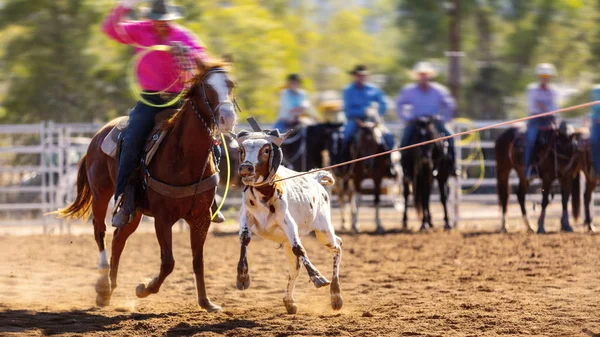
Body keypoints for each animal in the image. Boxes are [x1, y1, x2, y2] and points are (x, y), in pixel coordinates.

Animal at [54, 62, 237, 310]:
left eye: (230, 85)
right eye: (207, 88)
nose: (228, 118)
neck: (184, 155)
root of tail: (98, 135)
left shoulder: (201, 217)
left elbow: (198, 260)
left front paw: (206, 302)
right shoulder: (163, 217)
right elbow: (168, 262)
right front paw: (144, 288)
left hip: (135, 210)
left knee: (119, 239)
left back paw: (110, 288)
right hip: (101, 194)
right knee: (100, 231)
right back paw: (103, 287)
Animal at [237, 128, 344, 312]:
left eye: (266, 150)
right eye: (242, 150)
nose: (245, 168)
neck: (265, 196)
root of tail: (315, 179)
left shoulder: (288, 224)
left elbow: (299, 249)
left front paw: (317, 278)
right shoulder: (246, 216)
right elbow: (244, 239)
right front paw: (242, 277)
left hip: (324, 230)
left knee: (337, 246)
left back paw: (336, 295)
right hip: (288, 241)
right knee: (295, 267)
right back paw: (289, 301)